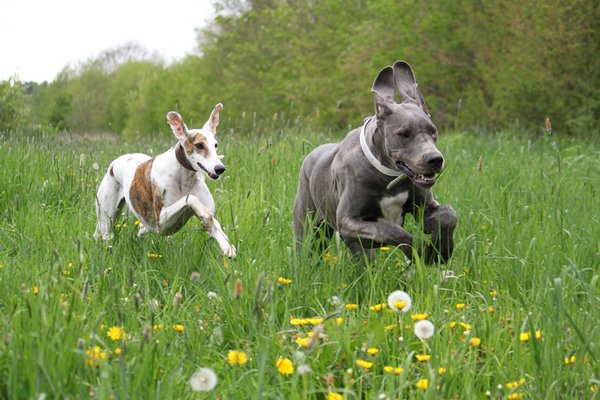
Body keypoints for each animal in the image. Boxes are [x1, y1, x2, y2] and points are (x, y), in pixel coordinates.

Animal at [92, 103, 236, 258]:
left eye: (216, 145)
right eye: (199, 145)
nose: (220, 168)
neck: (184, 177)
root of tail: (114, 163)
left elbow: (215, 227)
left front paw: (228, 247)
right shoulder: (161, 221)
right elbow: (191, 199)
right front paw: (205, 214)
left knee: (142, 228)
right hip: (106, 219)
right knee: (104, 234)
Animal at [292, 60, 458, 262]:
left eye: (433, 131)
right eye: (404, 133)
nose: (435, 159)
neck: (388, 177)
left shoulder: (425, 207)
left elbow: (448, 214)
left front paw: (440, 250)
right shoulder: (348, 221)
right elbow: (393, 230)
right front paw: (420, 251)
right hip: (310, 229)